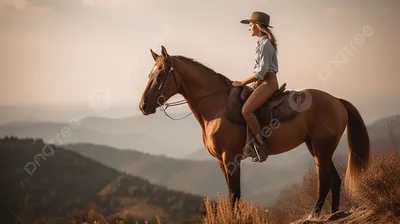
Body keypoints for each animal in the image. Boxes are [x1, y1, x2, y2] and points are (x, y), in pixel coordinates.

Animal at [139, 46, 370, 219]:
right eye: (149, 74)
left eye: (160, 74)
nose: (143, 106)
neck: (216, 108)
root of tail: (336, 100)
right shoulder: (221, 161)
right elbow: (233, 195)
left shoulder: (231, 158)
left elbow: (234, 195)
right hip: (316, 146)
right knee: (335, 180)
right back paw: (335, 214)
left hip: (321, 148)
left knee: (324, 182)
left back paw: (314, 214)